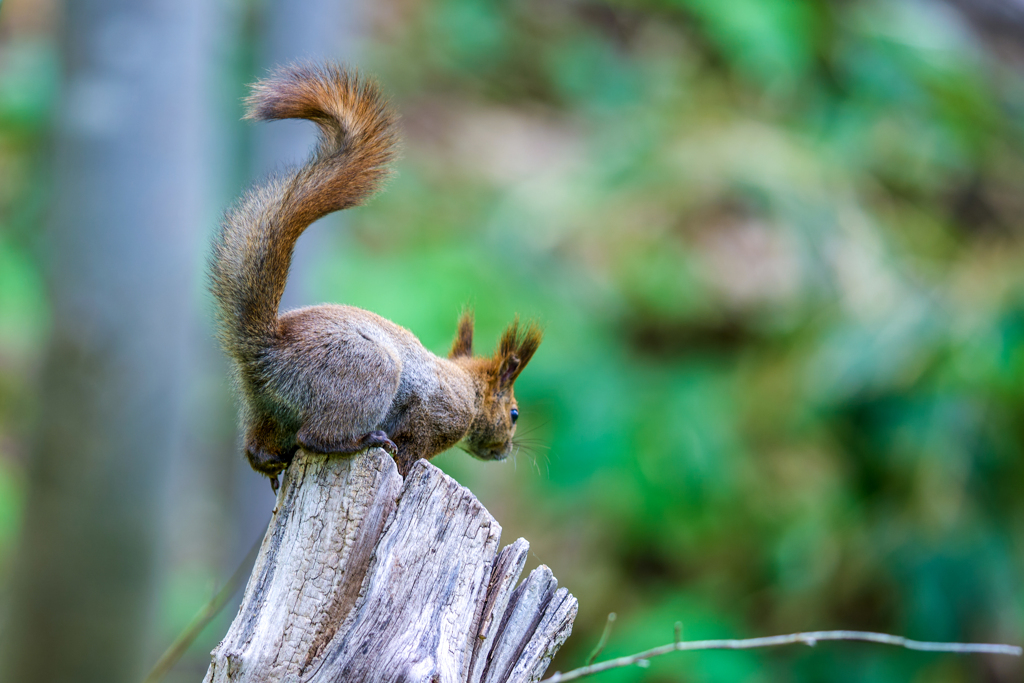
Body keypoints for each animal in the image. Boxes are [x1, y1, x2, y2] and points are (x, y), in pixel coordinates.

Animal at [209, 63, 544, 489]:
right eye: (514, 414)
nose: (504, 451)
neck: (464, 386)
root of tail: (266, 348)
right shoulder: (433, 417)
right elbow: (412, 448)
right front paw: (402, 466)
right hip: (366, 374)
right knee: (315, 436)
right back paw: (363, 440)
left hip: (266, 407)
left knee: (257, 446)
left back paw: (270, 463)